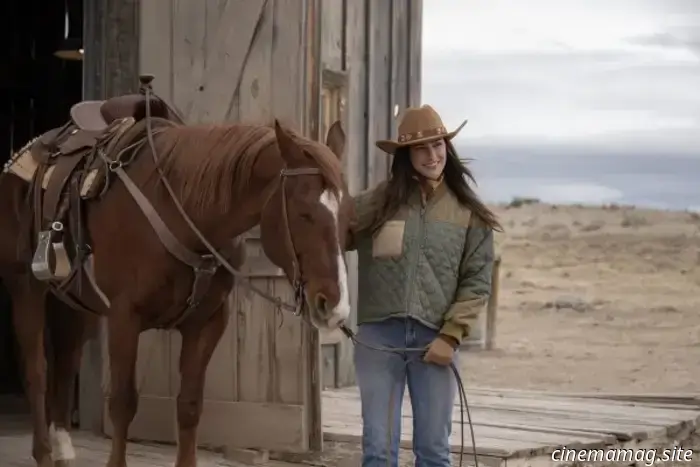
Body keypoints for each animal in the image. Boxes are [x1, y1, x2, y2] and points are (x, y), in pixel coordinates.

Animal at [0, 92, 350, 467]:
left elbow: (190, 405)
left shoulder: (207, 322)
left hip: (76, 302)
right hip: (26, 288)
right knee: (36, 370)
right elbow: (123, 402)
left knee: (66, 360)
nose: (335, 305)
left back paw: (63, 447)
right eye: (304, 213)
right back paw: (43, 452)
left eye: (346, 212)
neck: (181, 210)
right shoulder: (124, 317)